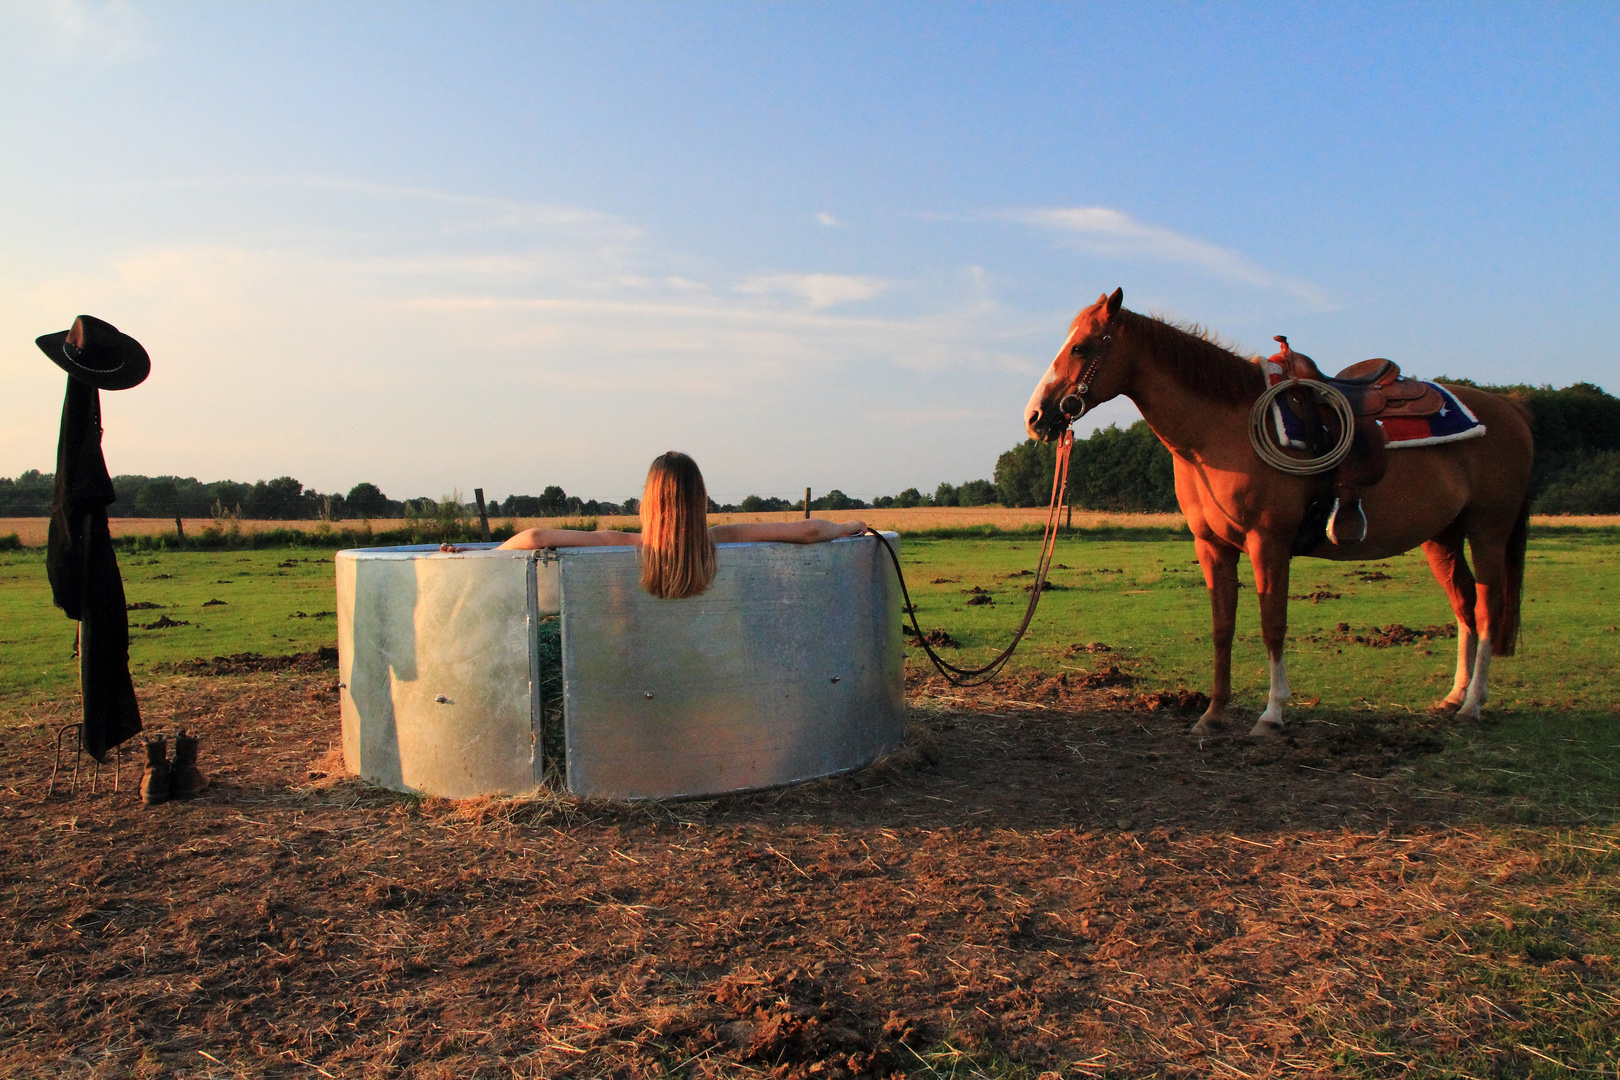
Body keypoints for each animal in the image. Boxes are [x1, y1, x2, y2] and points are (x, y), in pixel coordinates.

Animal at [1023, 291, 1529, 738]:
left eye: (1081, 347)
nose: (1035, 417)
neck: (1220, 432)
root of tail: (1510, 408)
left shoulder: (1268, 543)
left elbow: (1272, 625)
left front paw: (1271, 714)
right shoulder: (1212, 546)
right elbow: (1222, 627)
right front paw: (1212, 714)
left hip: (1487, 531)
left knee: (1487, 609)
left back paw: (1473, 705)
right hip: (1442, 538)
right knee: (1464, 605)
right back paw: (1453, 697)